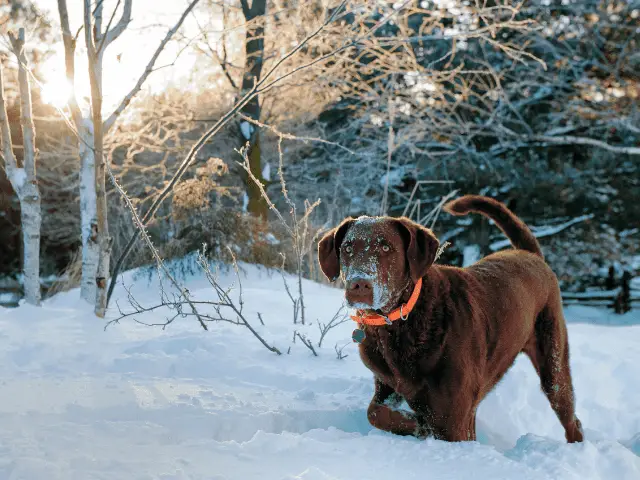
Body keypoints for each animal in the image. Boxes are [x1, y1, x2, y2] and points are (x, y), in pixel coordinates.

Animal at [318, 194, 584, 442]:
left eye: (386, 248)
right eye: (347, 248)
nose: (359, 284)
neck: (404, 321)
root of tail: (531, 255)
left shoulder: (454, 417)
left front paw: (422, 425)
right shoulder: (388, 384)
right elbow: (374, 412)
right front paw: (418, 425)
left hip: (553, 366)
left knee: (572, 419)